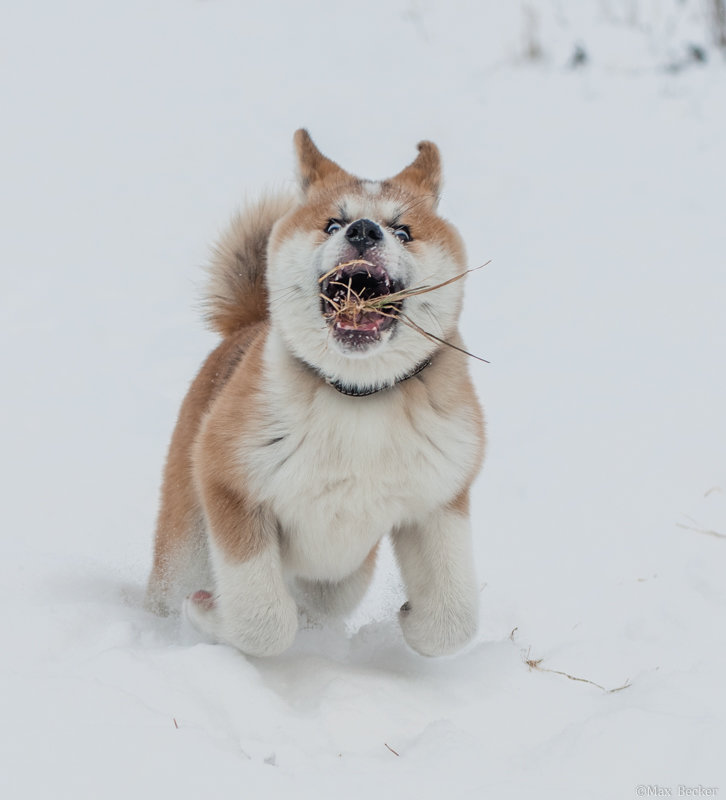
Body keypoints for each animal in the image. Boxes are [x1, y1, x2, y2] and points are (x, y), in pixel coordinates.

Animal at [145, 130, 486, 656]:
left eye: (402, 230)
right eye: (333, 224)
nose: (364, 231)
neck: (357, 396)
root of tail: (246, 325)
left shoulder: (437, 503)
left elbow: (454, 619)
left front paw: (412, 616)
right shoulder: (231, 489)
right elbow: (263, 621)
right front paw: (208, 615)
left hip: (343, 575)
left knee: (322, 603)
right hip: (186, 544)